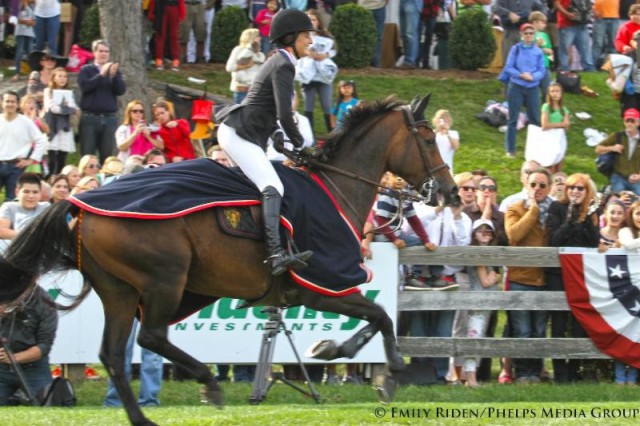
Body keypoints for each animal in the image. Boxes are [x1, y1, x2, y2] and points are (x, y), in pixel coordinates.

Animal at [0, 95, 456, 424]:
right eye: (428, 140)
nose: (449, 192)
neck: (336, 188)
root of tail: (80, 204)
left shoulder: (313, 292)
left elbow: (376, 317)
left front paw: (331, 348)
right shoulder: (321, 286)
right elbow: (381, 315)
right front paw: (387, 371)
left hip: (119, 290)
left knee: (113, 353)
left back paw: (144, 418)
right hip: (164, 279)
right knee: (151, 338)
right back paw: (206, 382)